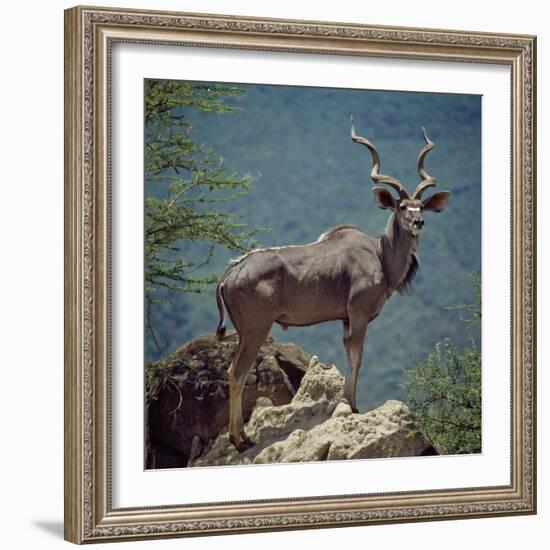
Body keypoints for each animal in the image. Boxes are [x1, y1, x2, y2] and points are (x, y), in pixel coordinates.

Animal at [216, 118, 452, 450]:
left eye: (420, 205)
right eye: (402, 207)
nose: (419, 222)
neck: (380, 253)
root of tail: (229, 275)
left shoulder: (345, 319)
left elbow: (348, 356)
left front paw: (347, 404)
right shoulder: (359, 315)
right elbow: (358, 357)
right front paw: (353, 407)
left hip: (244, 332)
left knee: (233, 371)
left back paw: (241, 436)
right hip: (255, 329)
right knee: (237, 372)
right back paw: (240, 440)